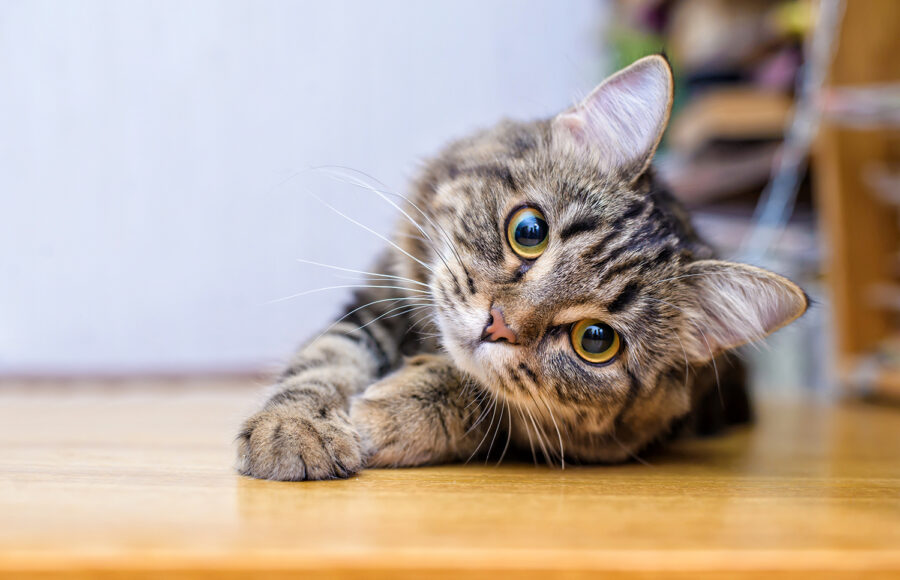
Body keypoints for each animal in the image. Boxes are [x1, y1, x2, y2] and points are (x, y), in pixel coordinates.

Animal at [236, 55, 804, 480]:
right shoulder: (379, 301)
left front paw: (386, 411)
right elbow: (324, 361)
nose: (498, 324)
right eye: (529, 231)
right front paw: (294, 430)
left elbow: (478, 397)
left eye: (596, 340)